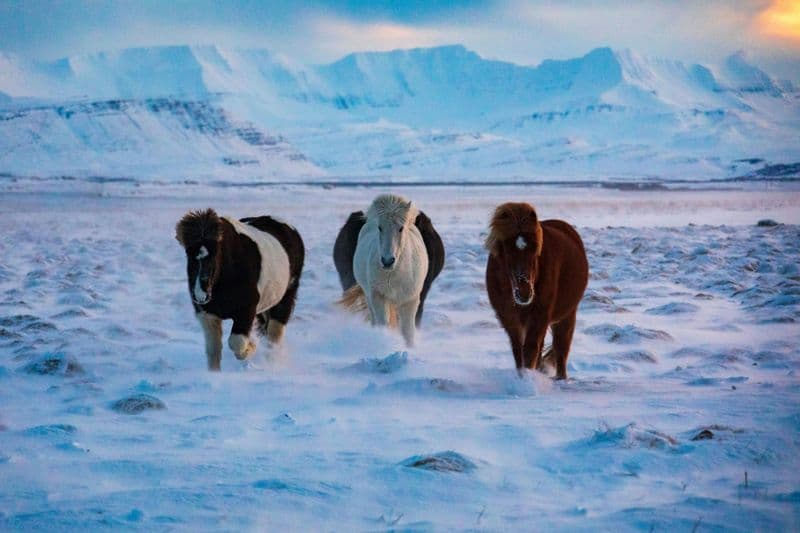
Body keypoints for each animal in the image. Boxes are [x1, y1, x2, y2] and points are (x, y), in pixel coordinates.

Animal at [175, 208, 304, 370]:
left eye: (216, 253)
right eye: (188, 253)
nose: (201, 295)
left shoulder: (246, 310)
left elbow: (236, 342)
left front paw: (251, 348)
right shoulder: (207, 316)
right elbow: (213, 351)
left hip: (285, 297)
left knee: (274, 336)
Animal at [336, 194, 443, 346]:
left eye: (401, 228)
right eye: (380, 227)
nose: (387, 261)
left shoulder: (410, 300)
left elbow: (408, 331)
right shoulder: (378, 297)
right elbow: (384, 325)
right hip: (370, 296)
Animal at [484, 202, 588, 379]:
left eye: (535, 250)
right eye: (507, 251)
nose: (524, 293)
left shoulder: (539, 316)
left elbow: (531, 349)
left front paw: (528, 379)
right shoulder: (509, 319)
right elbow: (518, 350)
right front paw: (523, 377)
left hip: (566, 315)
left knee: (561, 348)